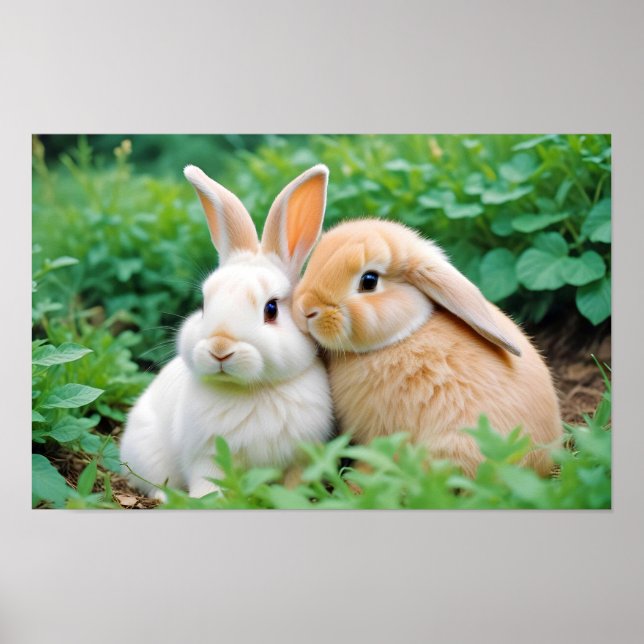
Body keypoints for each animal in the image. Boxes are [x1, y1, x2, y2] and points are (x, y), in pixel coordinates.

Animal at [120, 164, 334, 499]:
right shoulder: (206, 456)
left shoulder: (301, 456)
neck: (253, 391)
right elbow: (209, 484)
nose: (220, 348)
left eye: (271, 309)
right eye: (204, 304)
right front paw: (205, 500)